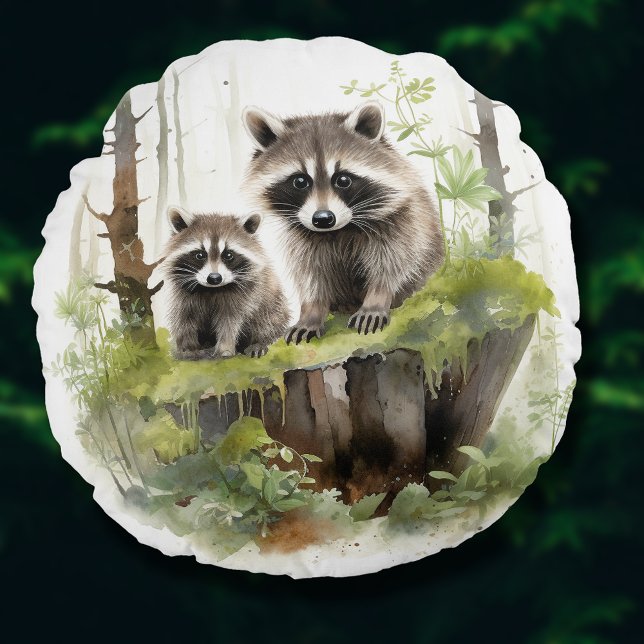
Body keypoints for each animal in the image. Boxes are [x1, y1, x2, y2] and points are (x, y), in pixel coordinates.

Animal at [163, 207, 290, 359]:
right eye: (200, 255)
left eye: (228, 255)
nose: (214, 278)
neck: (211, 289)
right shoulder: (182, 294)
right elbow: (184, 318)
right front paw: (188, 347)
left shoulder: (247, 293)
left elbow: (230, 321)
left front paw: (225, 348)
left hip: (275, 304)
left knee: (267, 320)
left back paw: (259, 342)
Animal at [242, 100, 444, 344]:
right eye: (300, 181)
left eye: (343, 180)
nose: (323, 219)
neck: (340, 230)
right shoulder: (302, 239)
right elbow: (312, 276)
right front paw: (311, 313)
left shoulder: (402, 221)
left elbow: (394, 262)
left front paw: (377, 299)